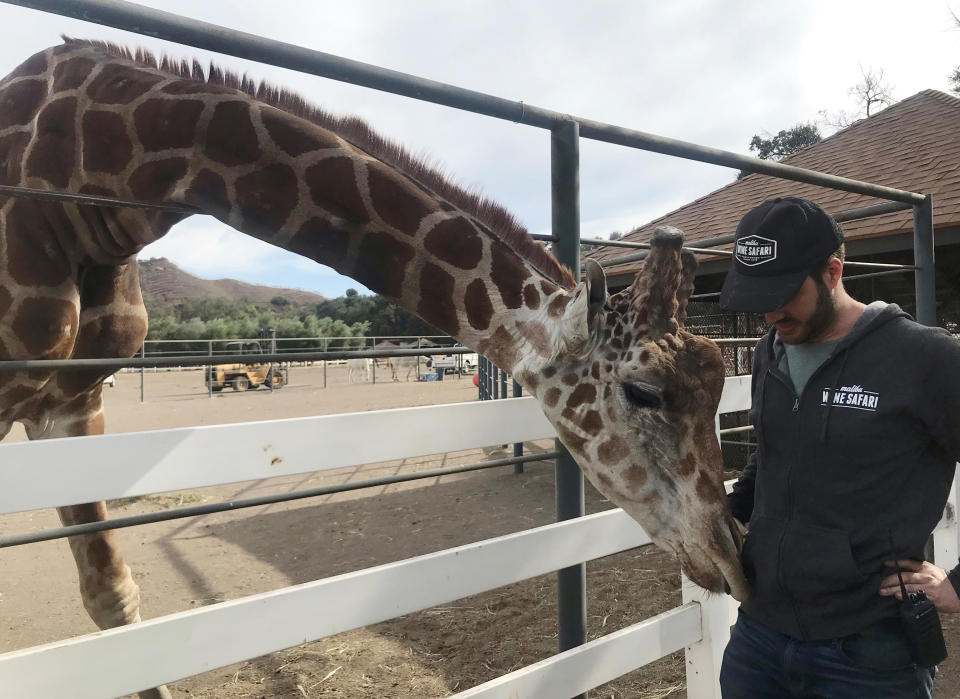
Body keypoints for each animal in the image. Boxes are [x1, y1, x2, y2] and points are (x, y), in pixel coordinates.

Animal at [0, 41, 752, 696]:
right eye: (644, 391)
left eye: (719, 380)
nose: (731, 562)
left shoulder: (72, 403)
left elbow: (113, 599)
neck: (101, 173)